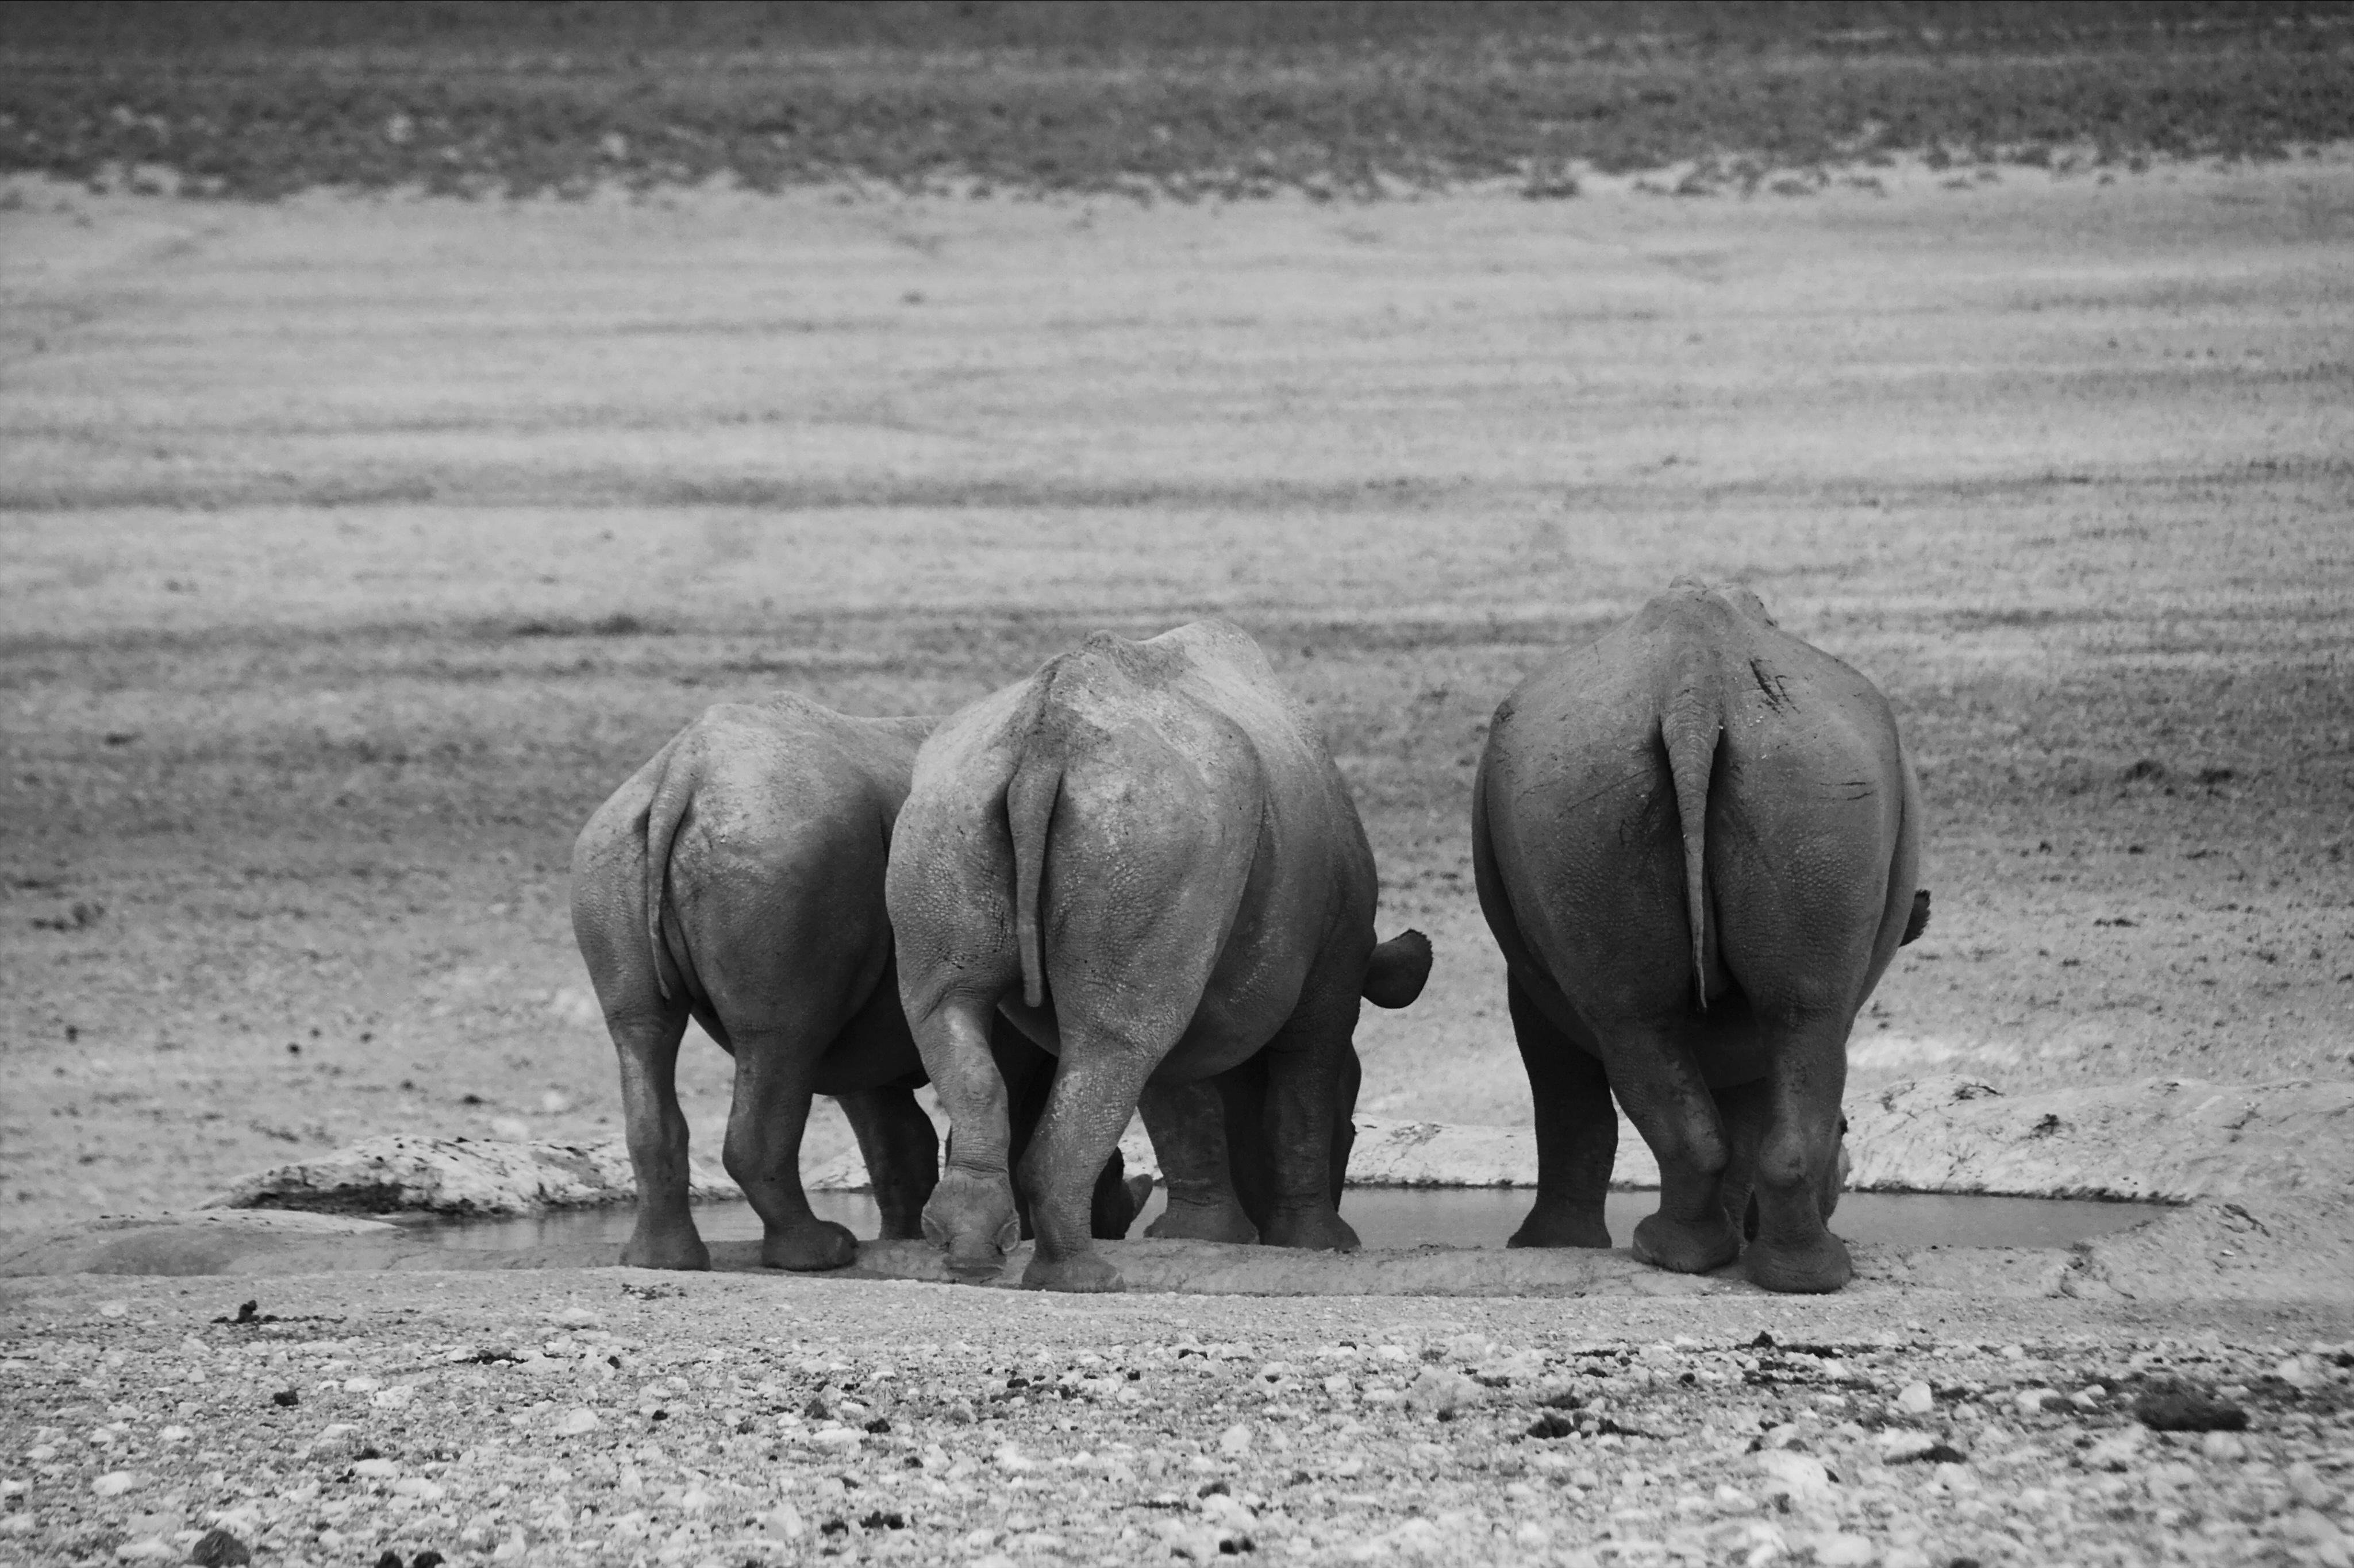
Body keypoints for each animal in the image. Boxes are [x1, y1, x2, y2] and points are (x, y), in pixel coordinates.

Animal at [570, 694, 1147, 1272]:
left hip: (616, 845)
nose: (1116, 1228)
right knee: (780, 1040)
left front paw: (906, 1239)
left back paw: (662, 1261)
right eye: (1117, 1175)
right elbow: (991, 1118)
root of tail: (681, 774)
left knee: (645, 1030)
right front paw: (1000, 1236)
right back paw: (823, 1253)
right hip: (783, 850)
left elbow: (898, 1143)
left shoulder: (868, 1031)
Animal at [885, 621, 1432, 1292]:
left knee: (955, 1009)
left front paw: (1207, 1237)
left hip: (958, 805)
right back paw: (1089, 1279)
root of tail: (1046, 739)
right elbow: (1301, 1088)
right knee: (1120, 1040)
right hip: (1141, 825)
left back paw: (973, 1263)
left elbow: (1181, 1102)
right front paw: (1322, 1243)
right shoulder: (1334, 960)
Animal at [1471, 580, 1928, 1293]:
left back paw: (1744, 1266)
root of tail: (1694, 684)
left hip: (1724, 770)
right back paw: (1736, 1263)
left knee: (1731, 1020)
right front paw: (1551, 1246)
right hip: (1772, 768)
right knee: (1765, 1022)